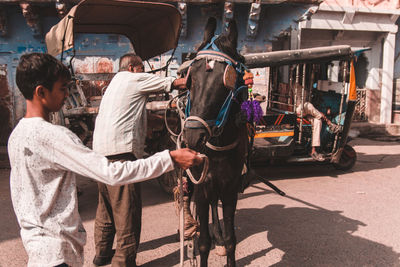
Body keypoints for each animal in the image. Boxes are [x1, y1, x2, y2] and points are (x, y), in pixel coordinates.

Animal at [183, 17, 248, 266]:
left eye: (226, 81)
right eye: (191, 78)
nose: (192, 136)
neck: (218, 149)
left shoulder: (230, 189)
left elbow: (231, 239)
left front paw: (224, 242)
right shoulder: (202, 189)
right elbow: (203, 243)